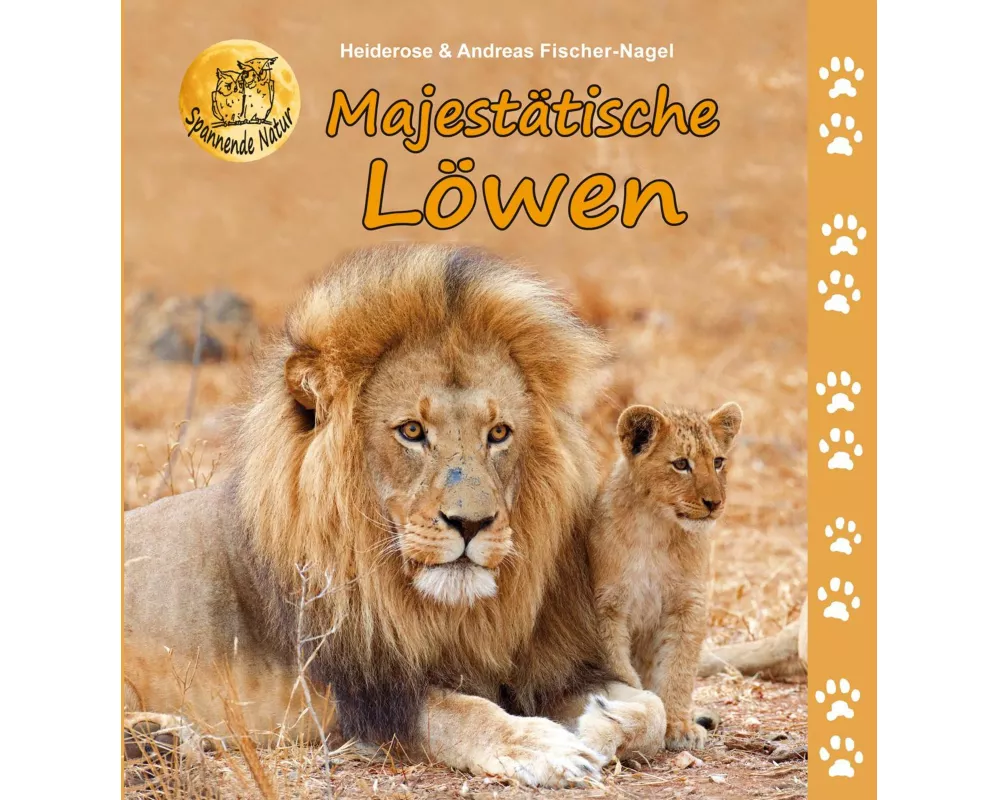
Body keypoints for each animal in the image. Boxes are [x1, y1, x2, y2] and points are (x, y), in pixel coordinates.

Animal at [124, 244, 665, 787]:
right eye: (411, 431)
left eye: (498, 433)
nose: (471, 524)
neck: (451, 614)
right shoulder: (363, 694)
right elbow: (461, 712)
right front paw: (542, 745)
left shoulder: (542, 665)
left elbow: (653, 708)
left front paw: (601, 722)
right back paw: (158, 741)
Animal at [588, 402, 742, 751]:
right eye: (681, 464)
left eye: (718, 462)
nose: (715, 503)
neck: (655, 528)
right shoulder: (606, 609)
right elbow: (622, 670)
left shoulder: (687, 605)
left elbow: (678, 670)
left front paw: (679, 727)